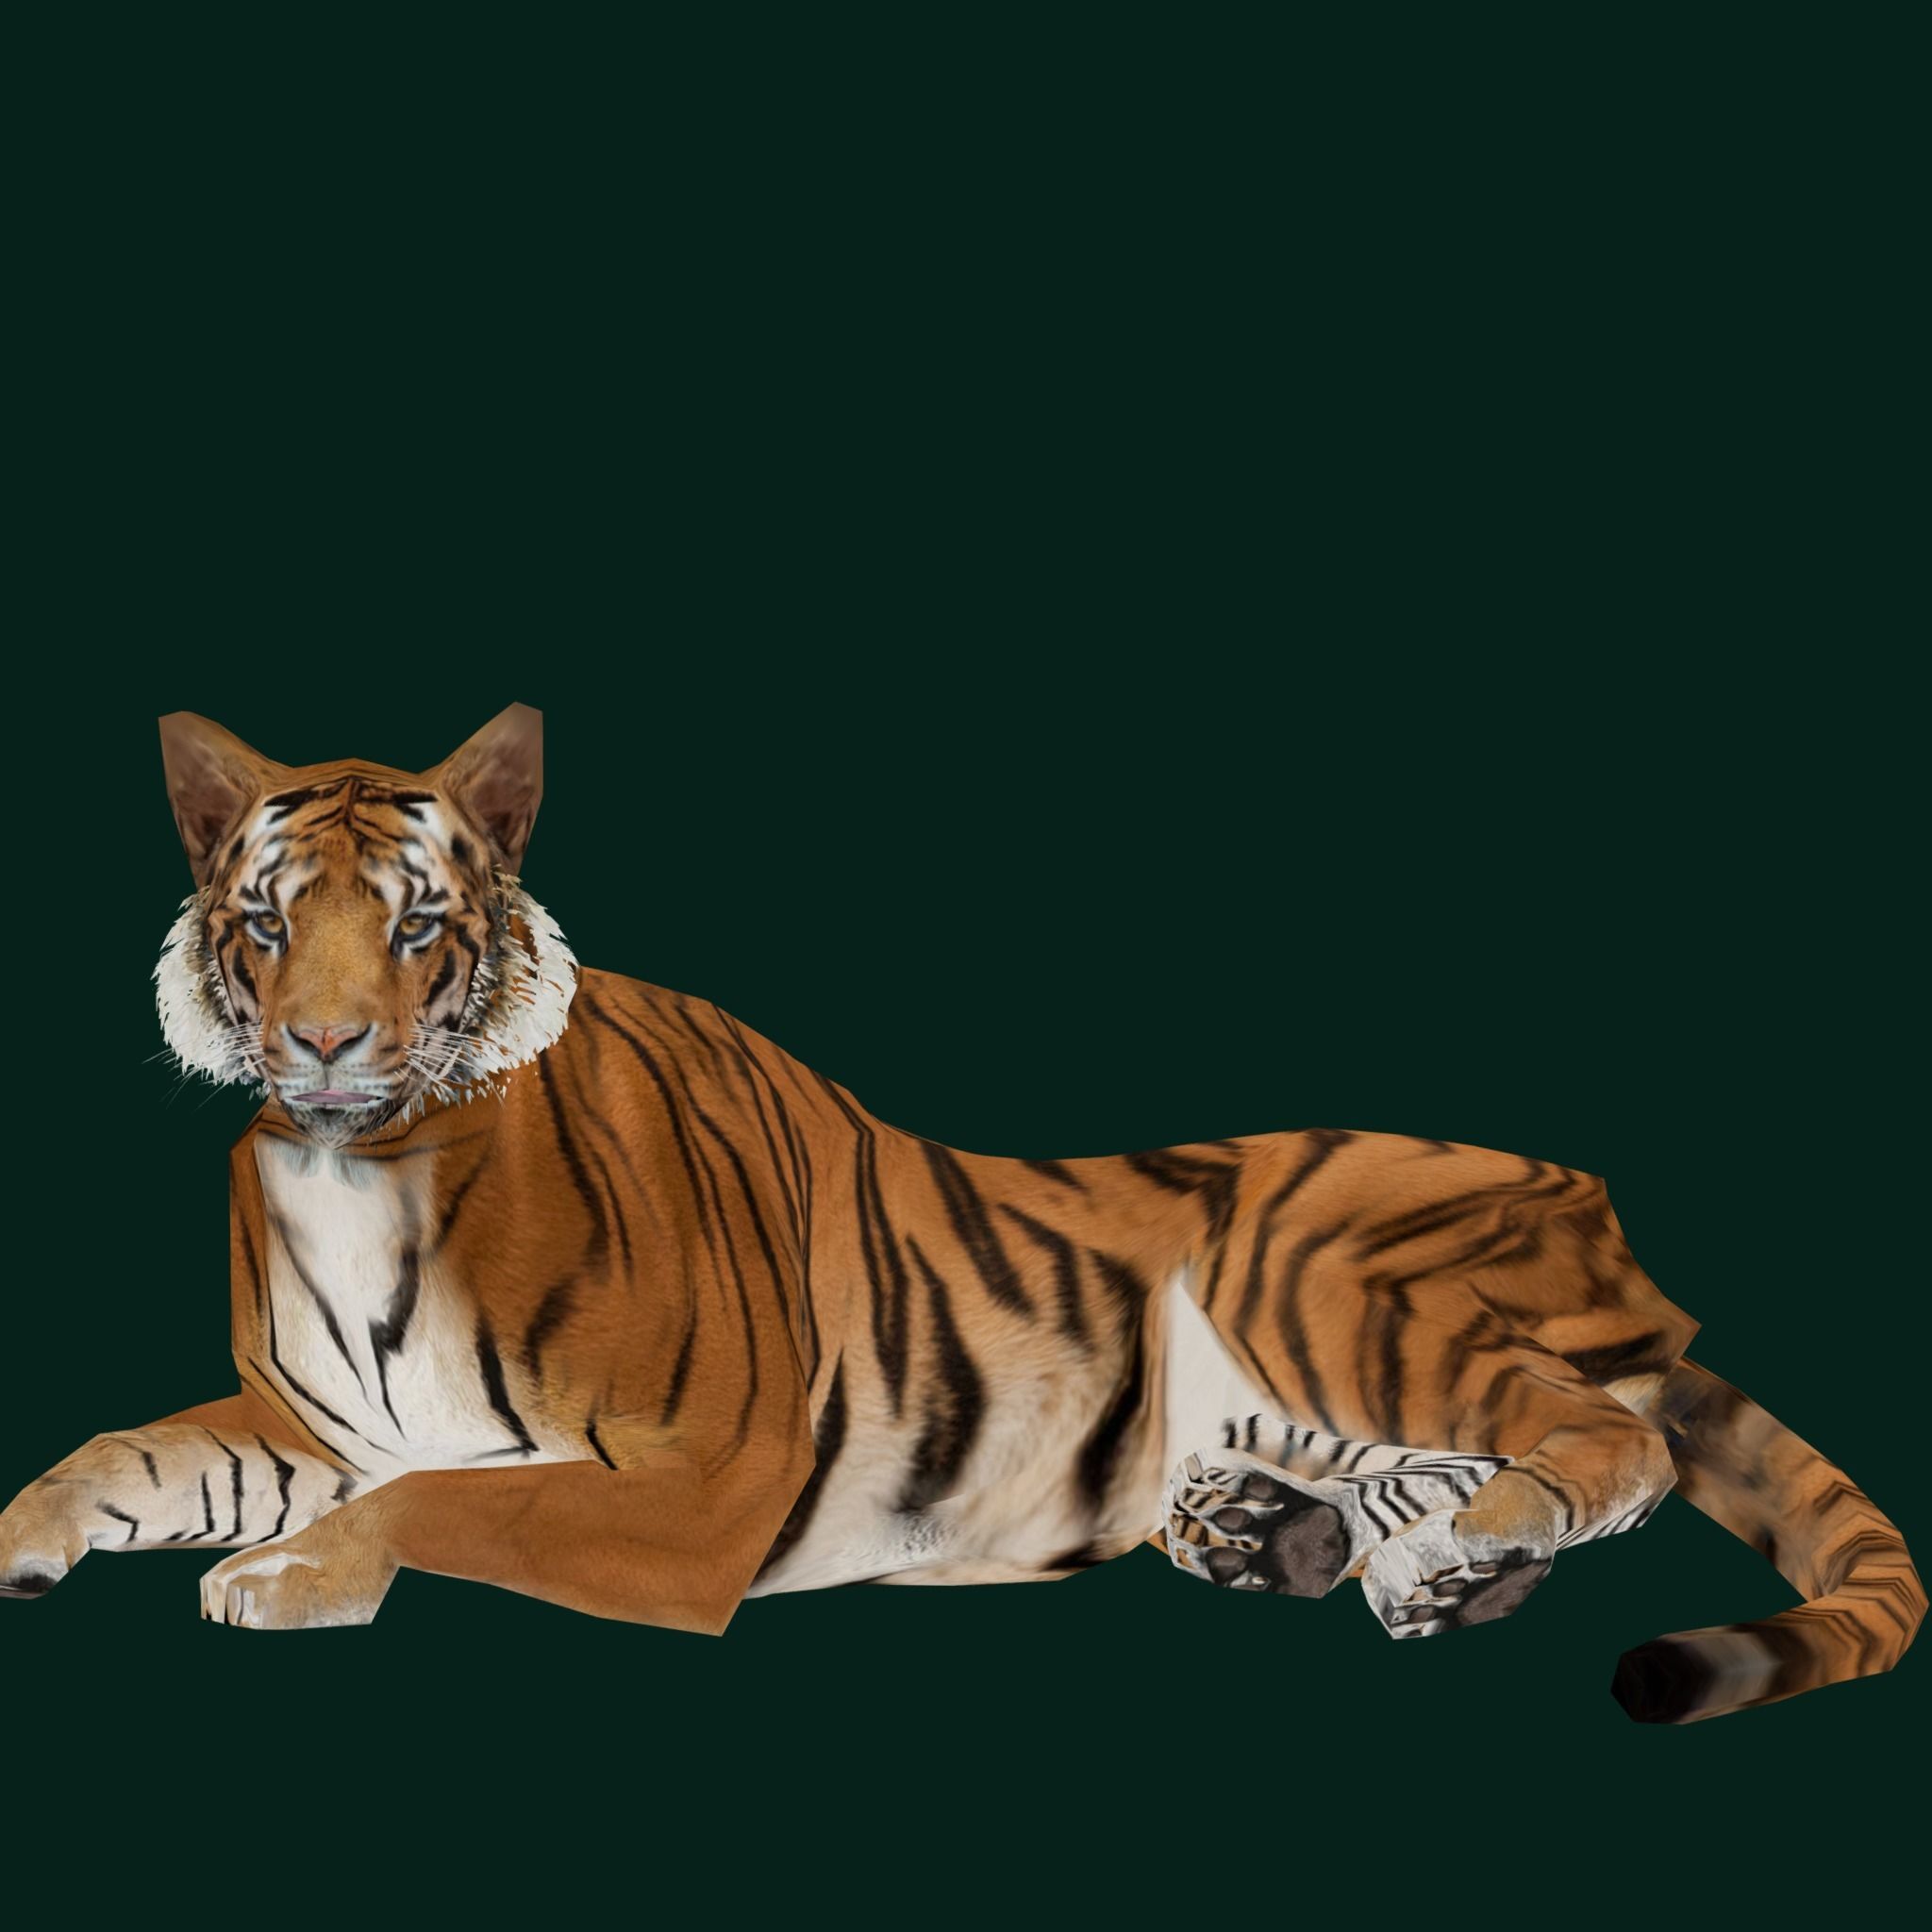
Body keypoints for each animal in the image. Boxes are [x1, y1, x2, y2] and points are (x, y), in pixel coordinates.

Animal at [0, 703, 1919, 1725]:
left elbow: (445, 1508)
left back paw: (1457, 1545)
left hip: (1314, 1268)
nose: (323, 1044)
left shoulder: (700, 1483)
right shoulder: (316, 1417)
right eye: (268, 918)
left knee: (1605, 1435)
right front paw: (33, 1533)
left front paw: (284, 1574)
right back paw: (1313, 1542)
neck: (363, 1170)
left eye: (411, 922)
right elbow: (134, 1452)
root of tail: (1596, 1197)